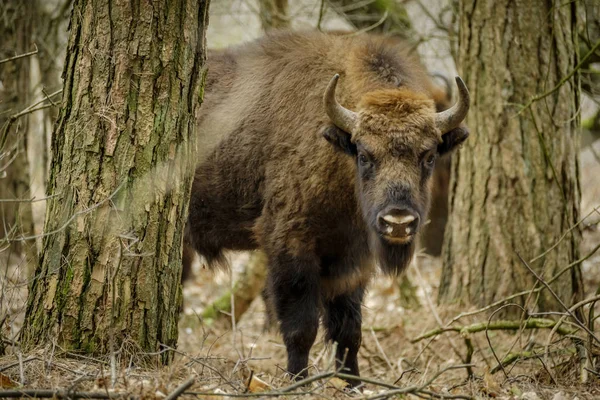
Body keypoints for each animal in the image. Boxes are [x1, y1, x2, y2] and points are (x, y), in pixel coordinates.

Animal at [185, 29, 472, 386]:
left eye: (429, 155)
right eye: (364, 154)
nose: (398, 221)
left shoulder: (353, 259)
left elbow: (348, 330)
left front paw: (353, 384)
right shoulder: (291, 247)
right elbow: (301, 327)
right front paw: (297, 381)